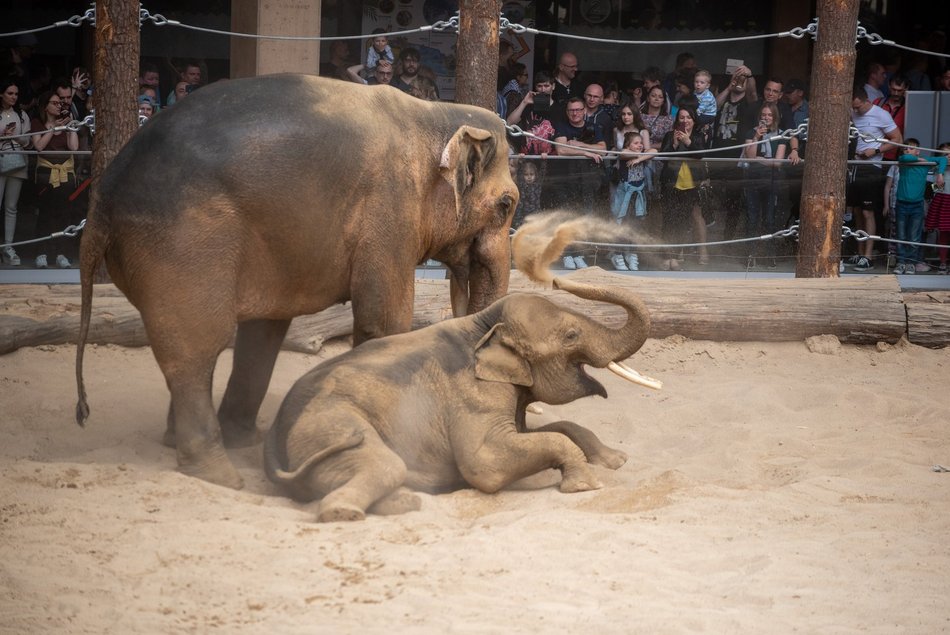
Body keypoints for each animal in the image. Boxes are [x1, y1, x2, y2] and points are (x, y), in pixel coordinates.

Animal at [74, 76, 520, 492]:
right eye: (507, 205)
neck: (432, 113)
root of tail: (102, 199)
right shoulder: (390, 209)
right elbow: (386, 321)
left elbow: (268, 328)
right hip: (183, 248)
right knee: (195, 350)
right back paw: (221, 475)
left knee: (251, 336)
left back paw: (218, 442)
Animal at [264, 278, 660, 520]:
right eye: (571, 335)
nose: (557, 280)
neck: (483, 323)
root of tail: (272, 444)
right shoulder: (474, 393)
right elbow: (484, 464)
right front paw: (586, 486)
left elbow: (551, 428)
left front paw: (617, 460)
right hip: (329, 426)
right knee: (386, 465)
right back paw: (360, 510)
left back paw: (406, 500)